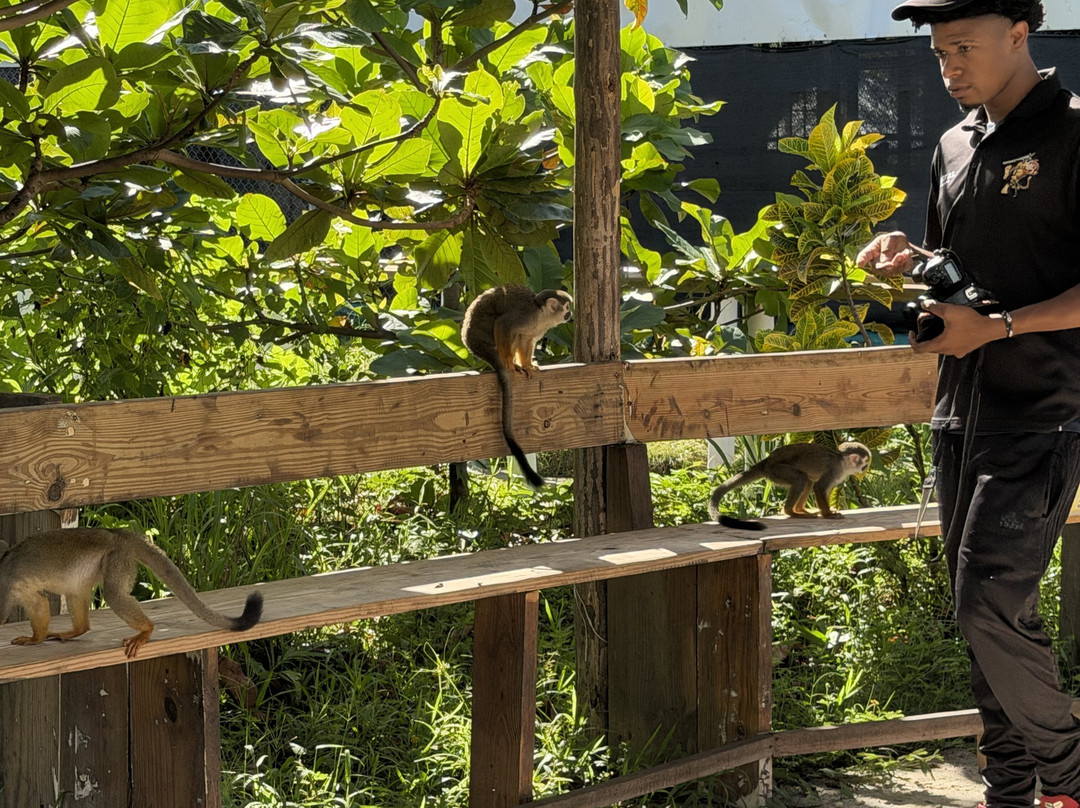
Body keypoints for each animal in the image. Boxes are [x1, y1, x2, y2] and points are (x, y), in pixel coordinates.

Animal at [0, 528, 263, 658]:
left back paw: (146, 629)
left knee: (114, 594)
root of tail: (123, 534)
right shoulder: (14, 586)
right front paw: (35, 639)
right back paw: (78, 630)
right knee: (76, 590)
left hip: (118, 556)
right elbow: (38, 603)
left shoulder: (3, 582)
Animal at [461, 284, 573, 489]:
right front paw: (508, 362)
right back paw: (507, 362)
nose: (570, 314)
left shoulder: (535, 327)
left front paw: (527, 365)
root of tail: (472, 344)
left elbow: (526, 340)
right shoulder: (525, 316)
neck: (540, 314)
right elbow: (504, 324)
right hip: (484, 338)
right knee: (500, 325)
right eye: (567, 307)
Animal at [708, 442, 872, 530]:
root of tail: (767, 462)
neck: (842, 463)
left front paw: (828, 510)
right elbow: (819, 487)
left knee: (807, 481)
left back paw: (800, 510)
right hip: (777, 470)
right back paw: (791, 512)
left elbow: (822, 488)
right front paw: (828, 515)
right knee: (802, 478)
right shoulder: (834, 470)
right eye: (864, 463)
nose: (865, 469)